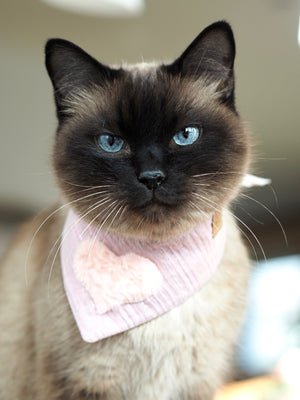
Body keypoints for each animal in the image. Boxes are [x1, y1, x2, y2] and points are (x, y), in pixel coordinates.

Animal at [0, 21, 251, 400]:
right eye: (111, 143)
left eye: (185, 135)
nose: (152, 177)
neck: (158, 255)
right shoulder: (83, 382)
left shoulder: (194, 384)